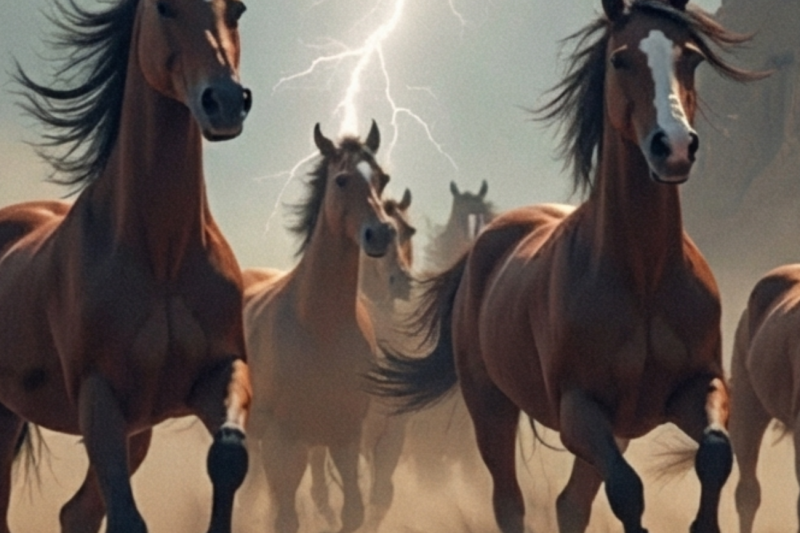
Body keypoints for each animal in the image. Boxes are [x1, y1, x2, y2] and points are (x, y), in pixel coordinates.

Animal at [0, 0, 253, 532]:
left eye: (237, 10)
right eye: (164, 8)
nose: (224, 101)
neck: (162, 255)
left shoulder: (216, 374)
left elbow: (228, 456)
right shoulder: (99, 396)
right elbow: (126, 517)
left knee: (76, 512)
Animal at [241, 122, 395, 533]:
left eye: (382, 178)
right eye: (341, 180)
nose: (381, 234)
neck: (319, 326)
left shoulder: (345, 437)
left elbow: (353, 511)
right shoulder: (283, 441)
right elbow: (285, 518)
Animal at [370, 1, 762, 532]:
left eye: (691, 58)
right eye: (620, 59)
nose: (675, 147)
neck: (643, 275)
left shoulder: (693, 388)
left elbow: (716, 454)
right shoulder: (580, 409)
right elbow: (627, 491)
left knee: (569, 503)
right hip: (491, 407)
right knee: (510, 501)